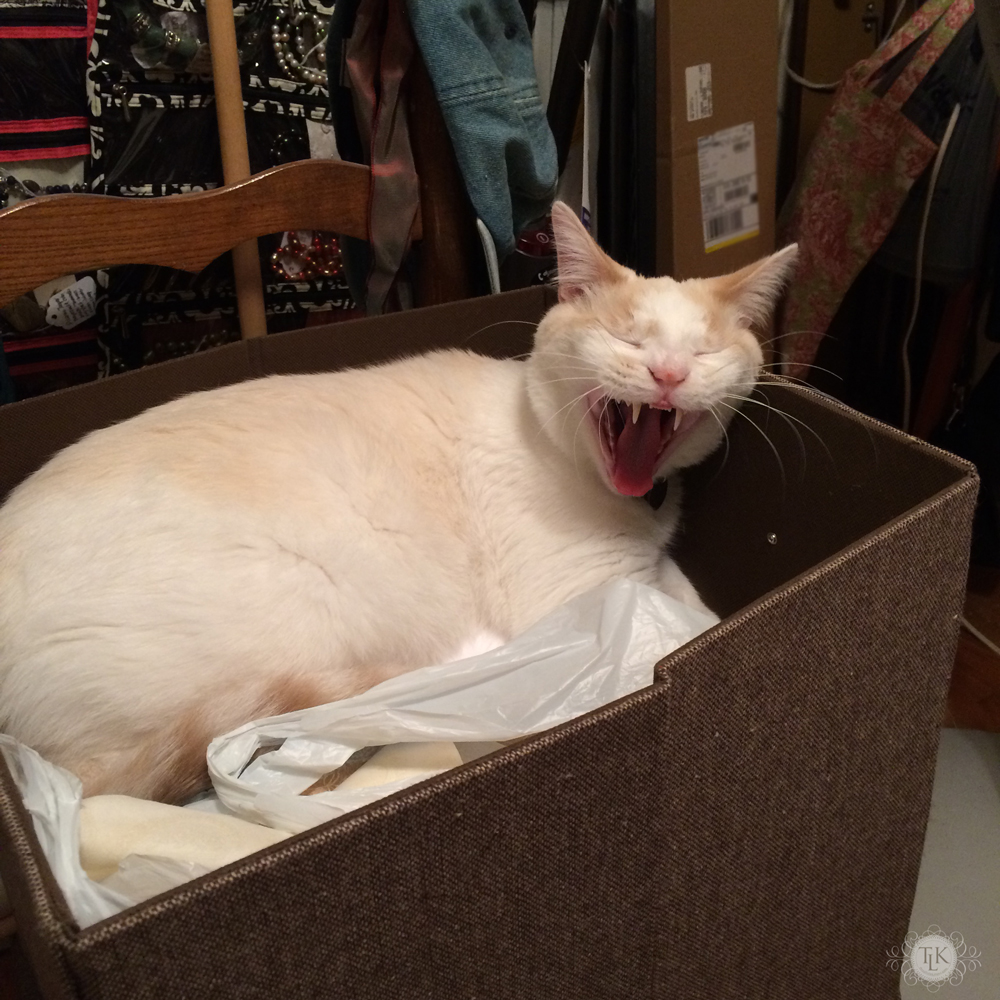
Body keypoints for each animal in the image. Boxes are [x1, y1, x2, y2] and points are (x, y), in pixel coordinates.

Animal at [0, 205, 796, 804]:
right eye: (625, 337)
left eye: (702, 354)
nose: (666, 375)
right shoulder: (585, 591)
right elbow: (685, 620)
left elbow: (688, 600)